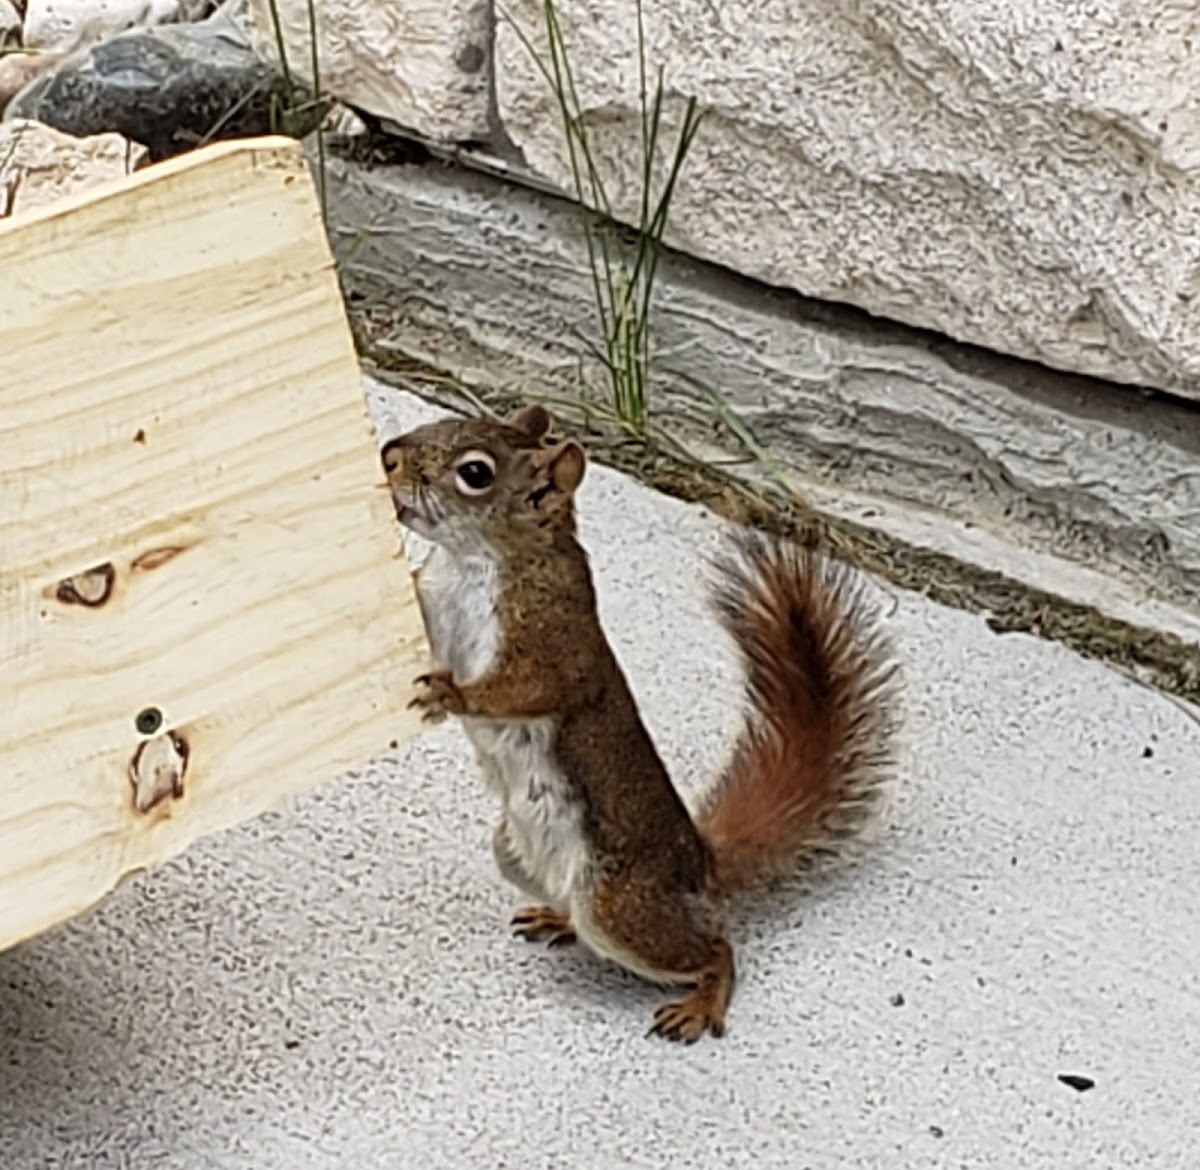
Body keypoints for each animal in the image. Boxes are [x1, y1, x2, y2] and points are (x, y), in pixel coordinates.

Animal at [379, 408, 897, 1046]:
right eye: (445, 420)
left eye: (475, 473)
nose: (388, 455)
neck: (472, 561)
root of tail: (700, 867)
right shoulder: (435, 599)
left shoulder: (554, 642)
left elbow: (524, 689)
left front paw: (452, 694)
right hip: (516, 855)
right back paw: (558, 918)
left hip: (622, 908)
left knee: (717, 948)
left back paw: (701, 1002)